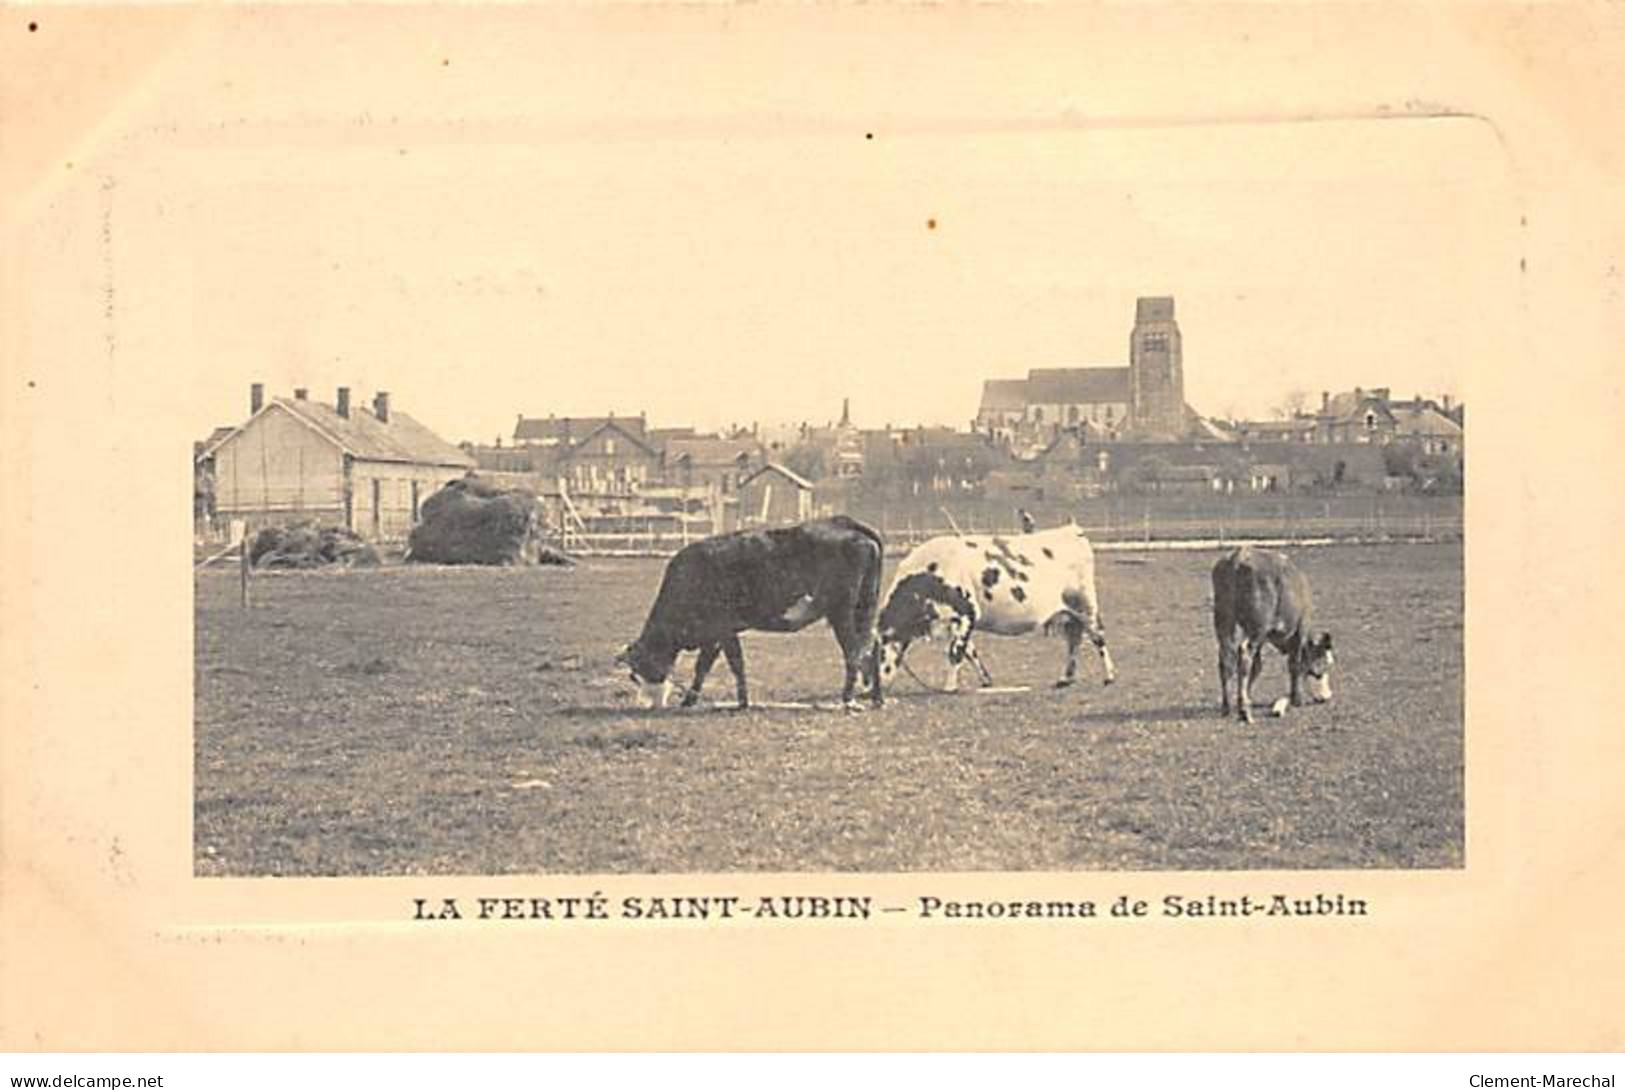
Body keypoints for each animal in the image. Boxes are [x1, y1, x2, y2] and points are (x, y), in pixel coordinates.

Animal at [614, 516, 884, 711]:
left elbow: (735, 664)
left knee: (853, 652)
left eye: (637, 672)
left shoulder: (723, 629)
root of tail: (845, 523)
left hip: (841, 612)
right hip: (863, 609)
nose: (648, 705)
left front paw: (742, 703)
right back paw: (876, 698)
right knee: (872, 647)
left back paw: (848, 699)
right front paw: (689, 700)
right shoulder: (713, 635)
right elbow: (703, 666)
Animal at [877, 523, 1118, 695]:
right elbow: (970, 652)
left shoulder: (967, 613)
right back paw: (1065, 679)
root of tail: (1071, 529)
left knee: (1098, 636)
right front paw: (986, 680)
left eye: (873, 655)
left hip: (1085, 605)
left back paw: (1109, 677)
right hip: (1069, 613)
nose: (871, 692)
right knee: (1074, 641)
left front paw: (949, 687)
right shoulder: (957, 622)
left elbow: (956, 652)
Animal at [1209, 545, 1332, 724]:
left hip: (1224, 621)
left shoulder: (1262, 640)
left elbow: (1257, 666)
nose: (1326, 697)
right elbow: (1295, 664)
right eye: (1323, 659)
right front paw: (1297, 699)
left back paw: (1227, 707)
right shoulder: (1299, 633)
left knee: (1226, 659)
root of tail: (1240, 556)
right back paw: (1244, 711)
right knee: (1244, 655)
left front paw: (1248, 695)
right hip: (1256, 628)